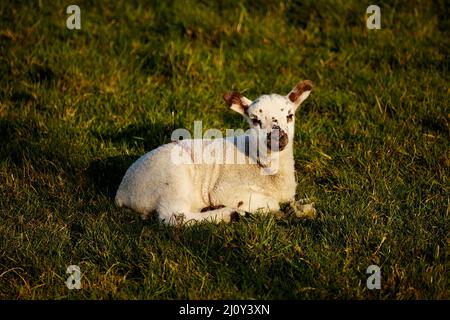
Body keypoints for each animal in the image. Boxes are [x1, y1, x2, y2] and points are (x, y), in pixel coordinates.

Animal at [114, 80, 314, 225]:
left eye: (290, 115)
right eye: (254, 119)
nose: (278, 138)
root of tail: (121, 191)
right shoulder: (225, 190)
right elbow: (271, 204)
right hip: (171, 180)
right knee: (175, 216)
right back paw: (228, 214)